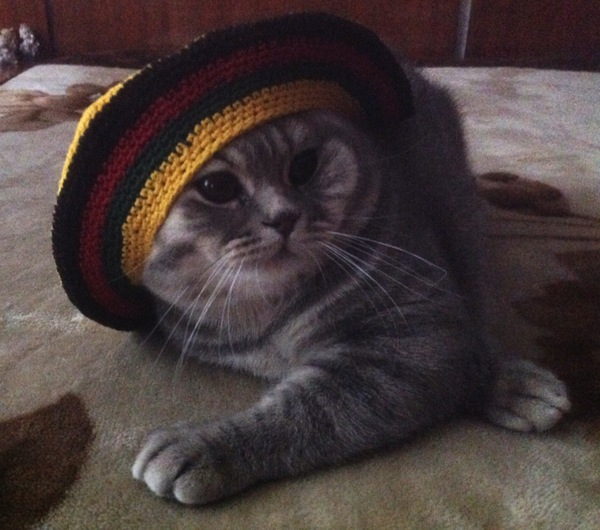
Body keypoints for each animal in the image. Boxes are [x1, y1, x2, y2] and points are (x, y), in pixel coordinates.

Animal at [132, 64, 571, 505]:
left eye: (304, 165)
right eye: (217, 188)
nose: (283, 218)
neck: (272, 312)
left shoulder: (413, 339)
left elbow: (306, 412)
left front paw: (204, 444)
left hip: (459, 213)